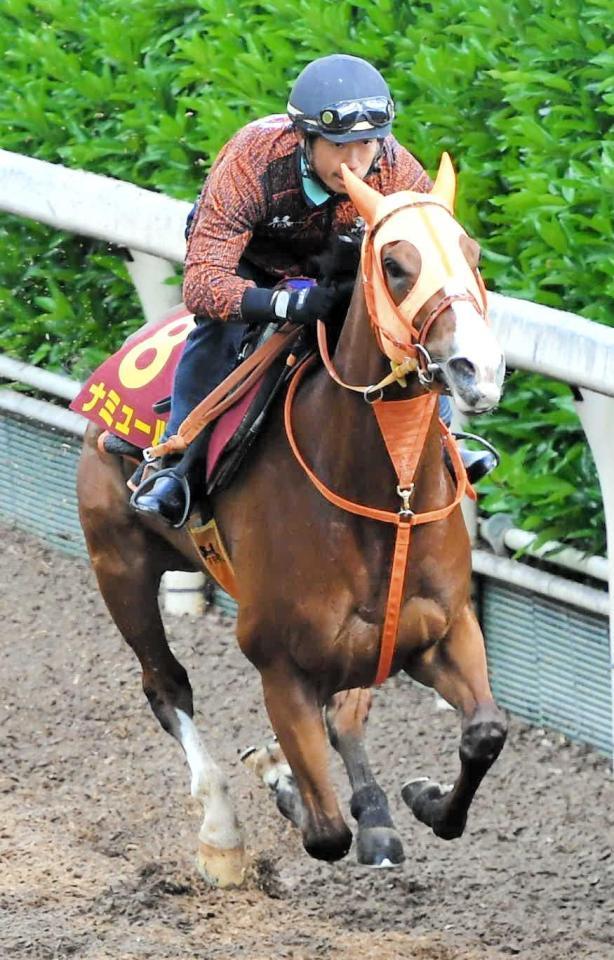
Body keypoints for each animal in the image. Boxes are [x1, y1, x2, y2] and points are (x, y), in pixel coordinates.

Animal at [77, 154, 510, 888]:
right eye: (395, 264)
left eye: (473, 253)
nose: (477, 368)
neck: (386, 494)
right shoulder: (279, 664)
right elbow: (325, 831)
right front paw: (284, 785)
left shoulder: (444, 631)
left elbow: (484, 734)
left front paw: (420, 800)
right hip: (120, 564)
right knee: (167, 686)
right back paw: (222, 832)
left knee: (348, 715)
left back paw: (376, 815)